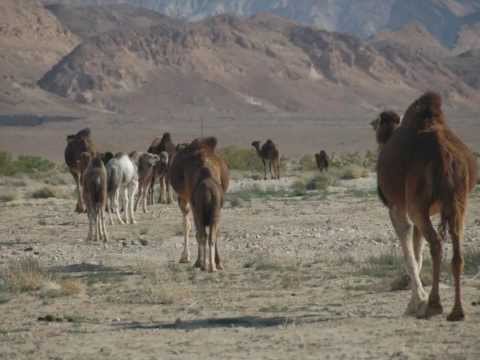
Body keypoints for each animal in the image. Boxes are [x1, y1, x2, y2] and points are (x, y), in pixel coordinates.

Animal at [169, 136, 229, 272]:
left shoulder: (186, 200)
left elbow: (188, 226)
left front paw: (188, 258)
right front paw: (217, 263)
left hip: (189, 201)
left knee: (199, 231)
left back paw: (202, 263)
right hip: (213, 207)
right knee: (210, 233)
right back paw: (212, 264)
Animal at [378, 92, 476, 320]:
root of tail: (445, 156)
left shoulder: (398, 207)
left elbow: (408, 246)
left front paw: (416, 302)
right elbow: (417, 247)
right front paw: (416, 299)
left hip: (417, 205)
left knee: (437, 243)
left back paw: (434, 305)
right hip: (459, 202)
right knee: (456, 249)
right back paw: (456, 311)